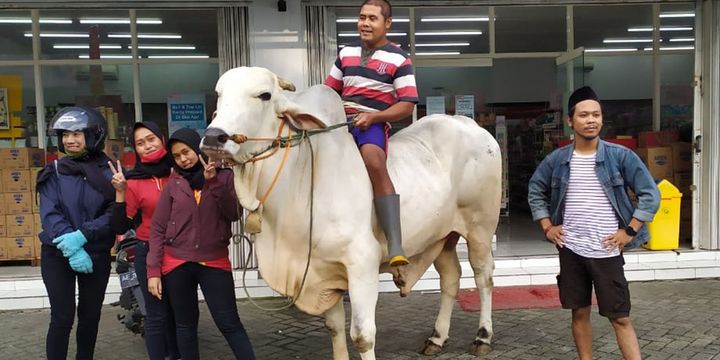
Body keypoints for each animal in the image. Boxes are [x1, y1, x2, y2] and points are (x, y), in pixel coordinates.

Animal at [202, 66, 500, 358]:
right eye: (219, 94)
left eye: (264, 95)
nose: (214, 137)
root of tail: (471, 125)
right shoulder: (323, 271)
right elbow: (334, 327)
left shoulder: (362, 264)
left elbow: (362, 336)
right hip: (443, 236)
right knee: (451, 277)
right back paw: (437, 338)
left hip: (480, 229)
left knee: (483, 276)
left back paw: (483, 336)